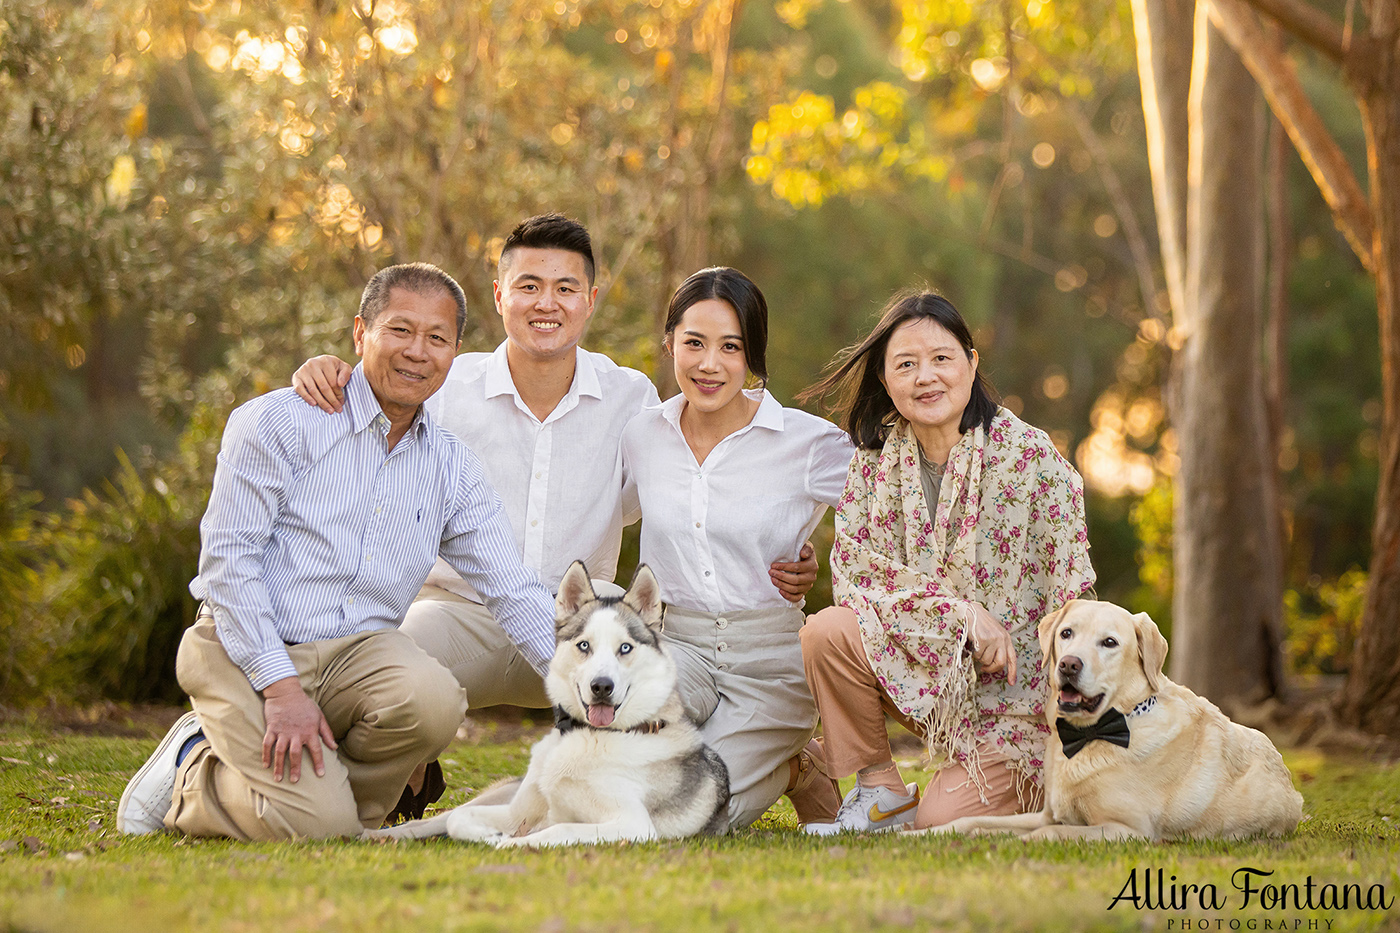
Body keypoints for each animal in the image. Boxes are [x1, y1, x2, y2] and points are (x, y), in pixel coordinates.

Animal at [366, 554, 728, 846]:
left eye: (625, 647)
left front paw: (506, 843)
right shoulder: (516, 811)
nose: (601, 686)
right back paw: (378, 832)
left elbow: (557, 829)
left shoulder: (633, 825)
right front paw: (489, 835)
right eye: (584, 645)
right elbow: (458, 819)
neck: (588, 735)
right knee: (442, 816)